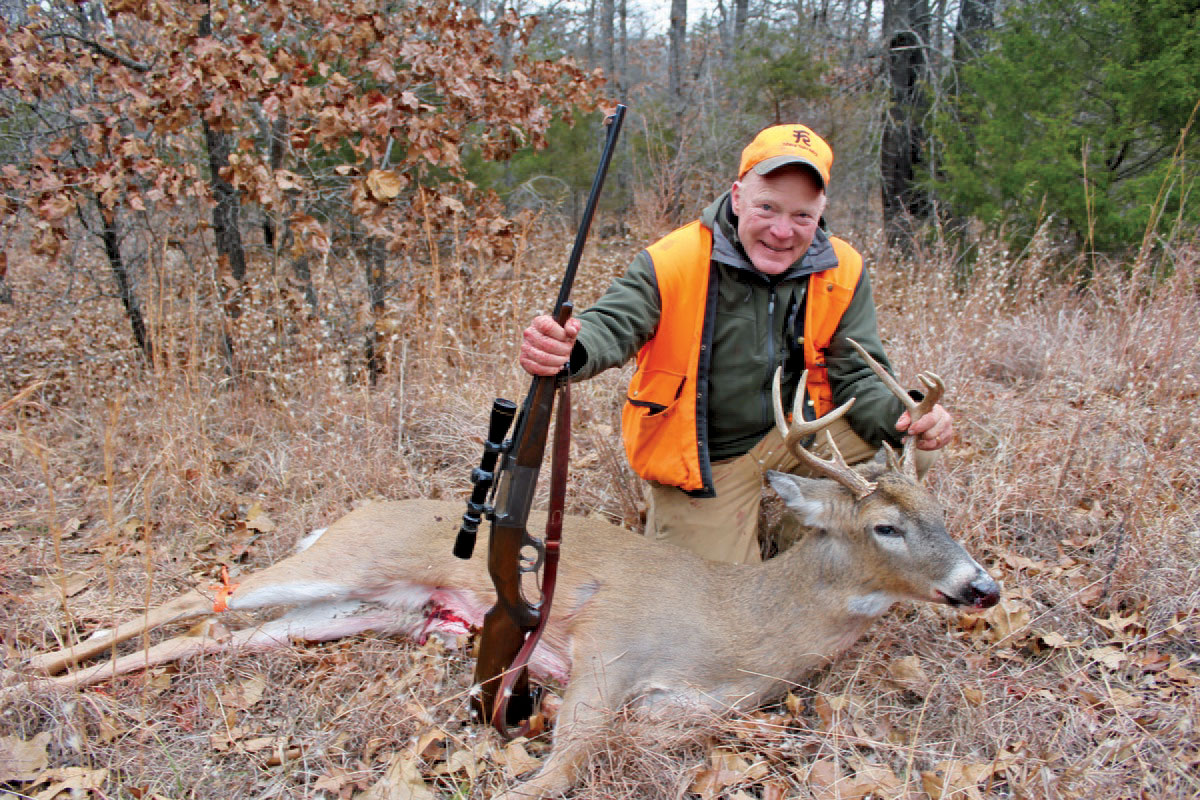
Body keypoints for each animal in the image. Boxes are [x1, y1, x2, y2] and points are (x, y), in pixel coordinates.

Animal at [11, 350, 1003, 800]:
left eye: (948, 519)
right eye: (886, 525)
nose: (982, 587)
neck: (740, 629)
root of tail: (350, 513)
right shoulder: (609, 645)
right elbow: (560, 771)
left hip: (361, 610)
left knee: (218, 631)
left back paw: (45, 682)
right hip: (344, 561)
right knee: (198, 595)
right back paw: (29, 671)